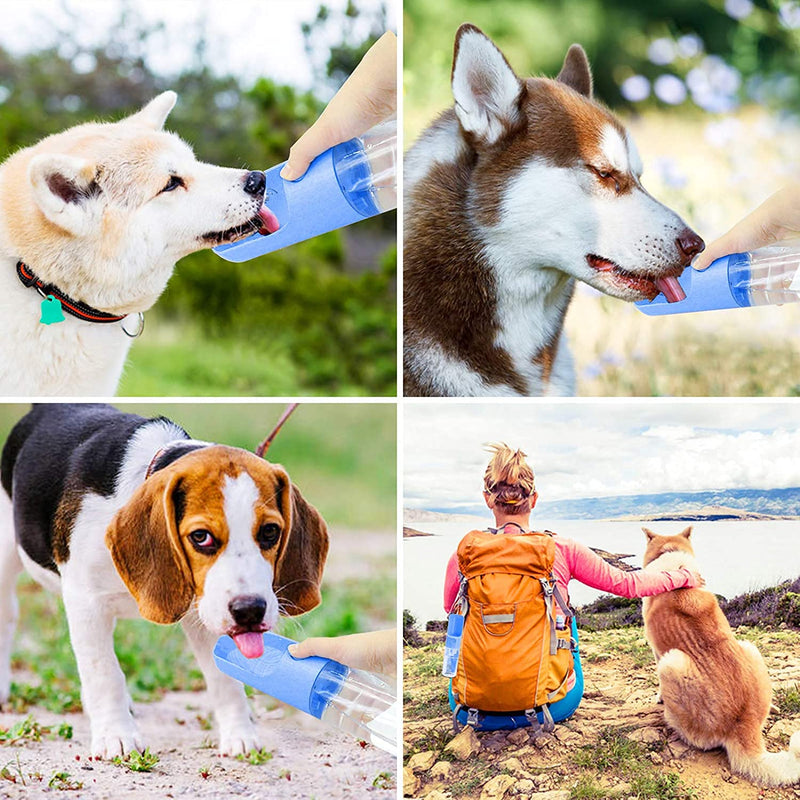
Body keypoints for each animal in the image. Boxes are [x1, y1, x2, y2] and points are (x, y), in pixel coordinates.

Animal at [0, 404, 328, 760]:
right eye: (201, 537)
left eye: (270, 532)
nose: (250, 610)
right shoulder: (86, 602)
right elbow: (104, 672)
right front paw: (116, 735)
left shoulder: (206, 608)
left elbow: (223, 679)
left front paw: (239, 734)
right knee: (9, 615)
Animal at [640, 528, 800, 784]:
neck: (673, 558)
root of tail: (743, 724)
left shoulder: (657, 652)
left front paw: (659, 697)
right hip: (750, 647)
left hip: (671, 661)